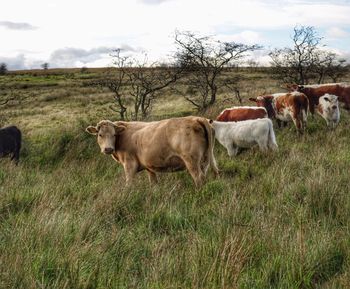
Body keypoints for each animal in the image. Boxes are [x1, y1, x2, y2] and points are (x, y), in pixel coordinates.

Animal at [86, 116, 219, 187]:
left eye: (114, 134)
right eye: (100, 135)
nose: (108, 149)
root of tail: (196, 118)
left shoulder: (129, 165)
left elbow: (129, 184)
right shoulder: (149, 168)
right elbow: (154, 183)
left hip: (191, 161)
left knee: (199, 178)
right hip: (206, 159)